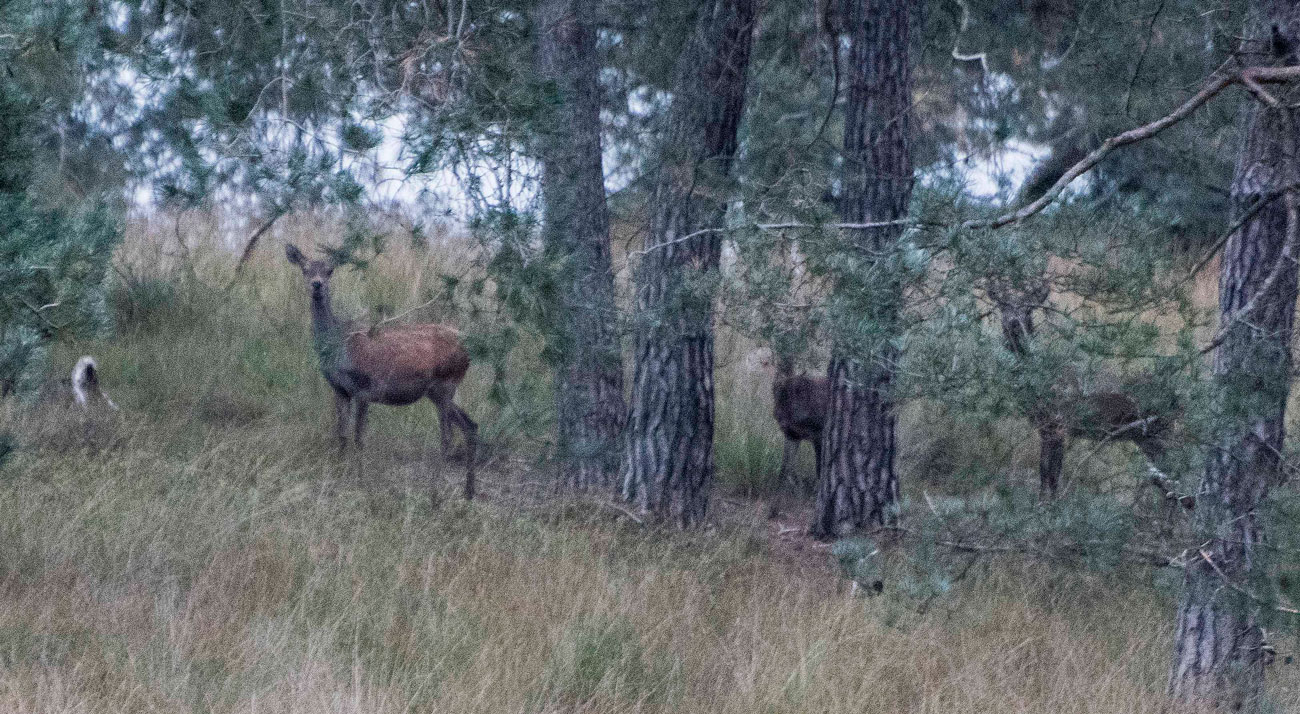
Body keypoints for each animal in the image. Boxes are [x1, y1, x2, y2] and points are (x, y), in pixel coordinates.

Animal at [284, 244, 478, 502]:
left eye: (330, 270)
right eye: (305, 269)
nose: (317, 285)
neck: (339, 347)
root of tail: (470, 349)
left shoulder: (364, 387)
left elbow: (359, 437)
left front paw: (359, 480)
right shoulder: (339, 390)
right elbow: (342, 434)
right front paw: (337, 471)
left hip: (445, 383)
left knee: (447, 437)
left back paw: (434, 493)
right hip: (438, 391)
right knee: (470, 426)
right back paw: (468, 492)